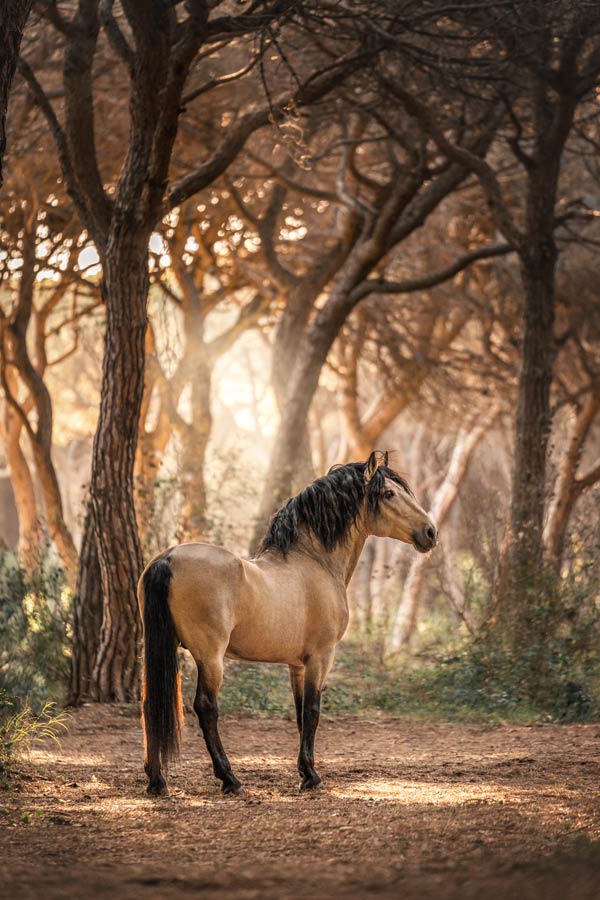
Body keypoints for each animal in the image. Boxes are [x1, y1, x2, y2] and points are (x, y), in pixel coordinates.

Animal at [137, 450, 436, 796]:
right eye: (388, 494)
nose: (430, 532)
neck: (313, 561)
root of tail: (167, 559)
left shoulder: (297, 664)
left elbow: (299, 714)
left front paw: (304, 771)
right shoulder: (321, 657)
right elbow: (313, 711)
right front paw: (311, 776)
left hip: (161, 650)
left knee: (149, 704)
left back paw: (157, 780)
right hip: (210, 658)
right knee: (206, 708)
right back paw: (229, 779)